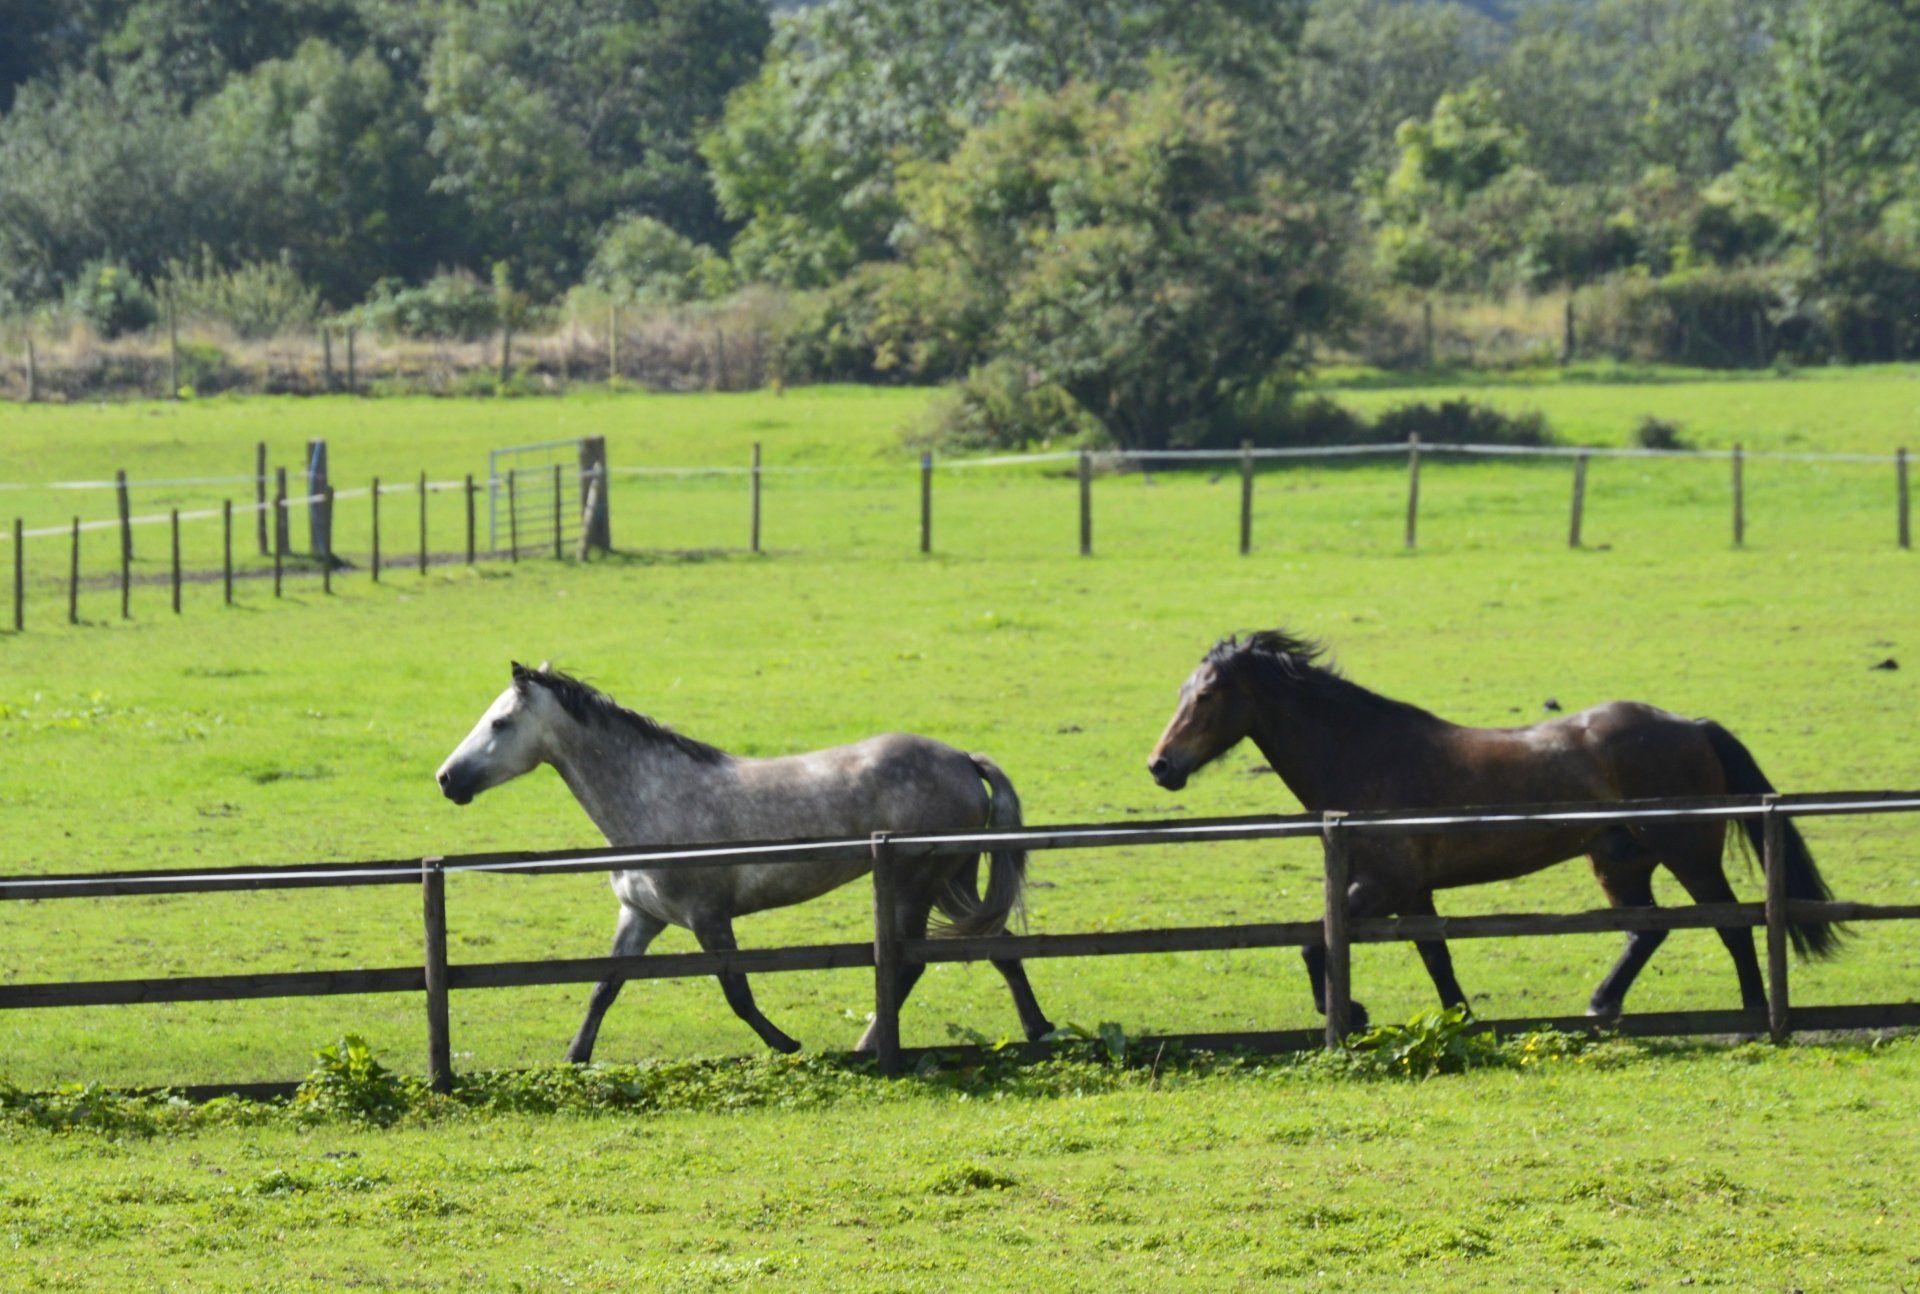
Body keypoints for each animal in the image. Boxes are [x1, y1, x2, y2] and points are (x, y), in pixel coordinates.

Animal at [436, 662, 1056, 1061]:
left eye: (499, 723)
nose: (446, 779)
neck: (653, 798)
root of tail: (962, 758)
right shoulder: (641, 916)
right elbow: (603, 987)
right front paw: (574, 1057)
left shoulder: (709, 918)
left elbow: (737, 991)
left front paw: (786, 1045)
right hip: (955, 880)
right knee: (999, 946)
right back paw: (1038, 1030)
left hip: (915, 884)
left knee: (908, 965)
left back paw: (870, 1046)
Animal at [1146, 630, 1842, 1031]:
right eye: (1182, 691)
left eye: (1207, 696)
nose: (1161, 766)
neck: (1362, 752)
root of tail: (1692, 725)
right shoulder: (1408, 891)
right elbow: (1433, 953)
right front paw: (1459, 1016)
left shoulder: (1382, 884)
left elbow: (1317, 943)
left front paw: (1348, 1012)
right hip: (1619, 859)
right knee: (1650, 929)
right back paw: (1601, 1004)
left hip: (1689, 855)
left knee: (1731, 923)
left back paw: (1753, 1013)